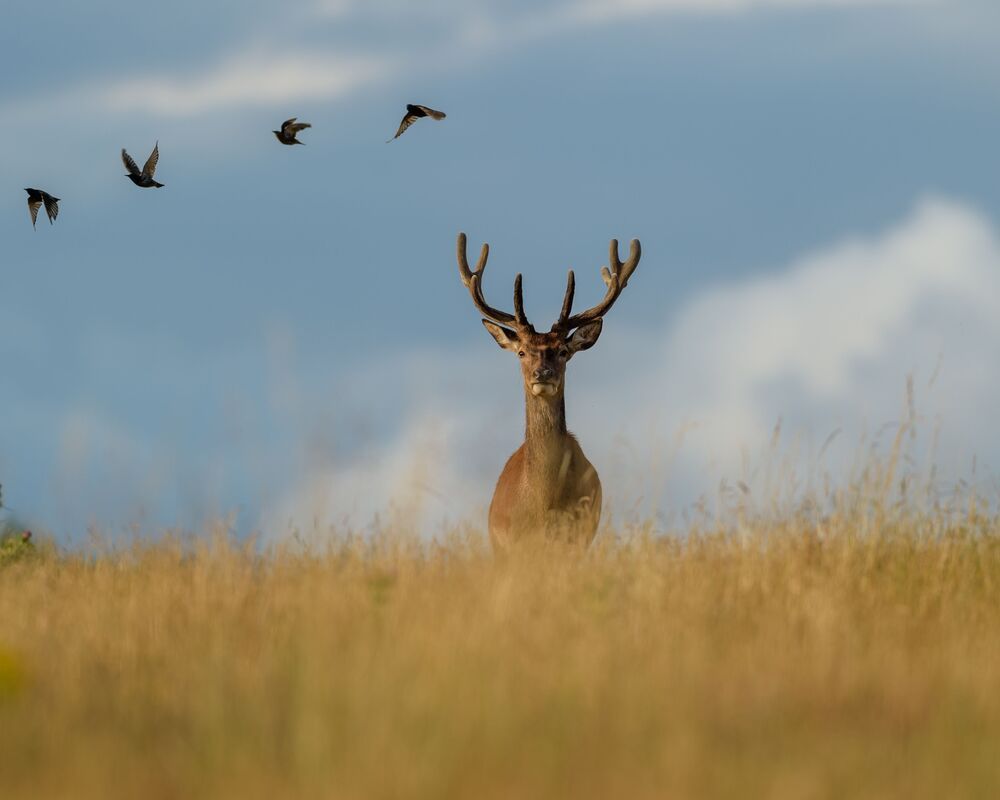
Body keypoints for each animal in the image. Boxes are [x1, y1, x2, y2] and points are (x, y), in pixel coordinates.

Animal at [456, 232, 642, 552]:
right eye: (521, 352)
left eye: (563, 351)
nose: (542, 374)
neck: (543, 504)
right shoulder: (511, 544)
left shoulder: (578, 536)